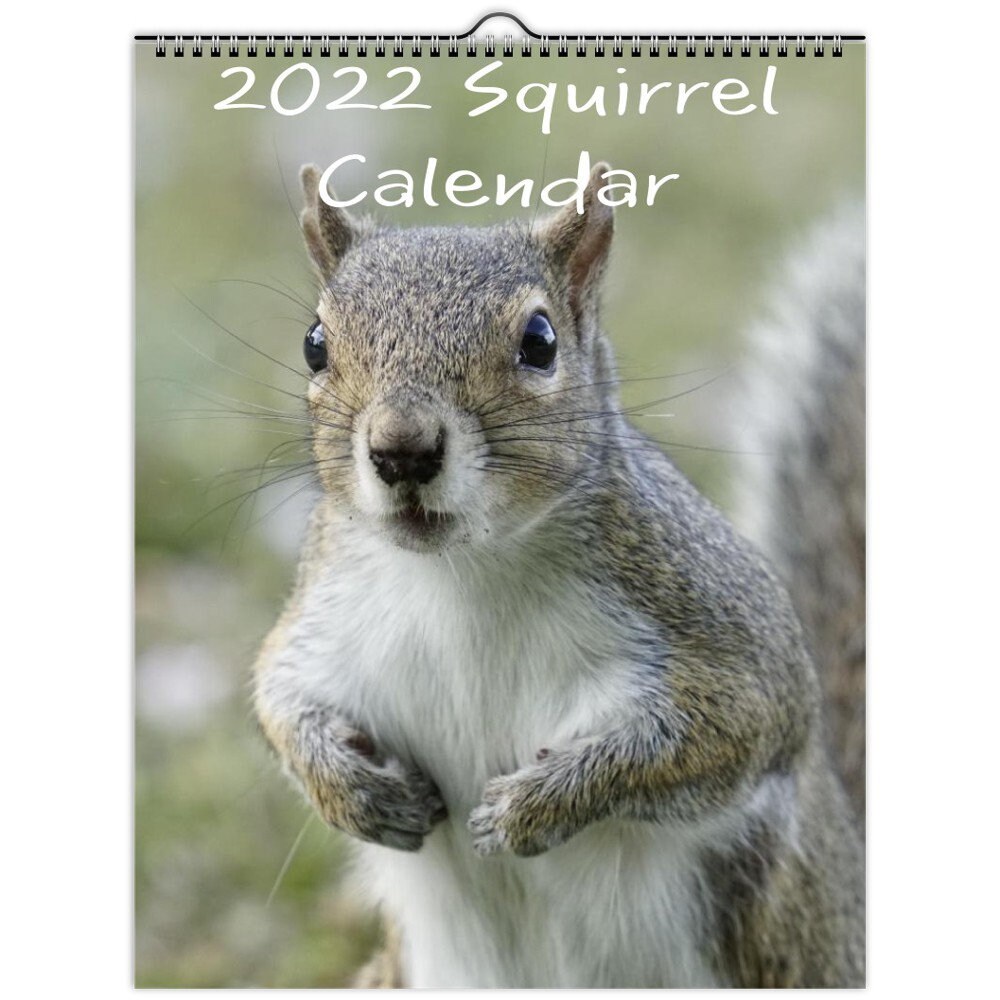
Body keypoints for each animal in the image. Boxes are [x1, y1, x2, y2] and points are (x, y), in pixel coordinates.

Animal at [252, 161, 865, 988]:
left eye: (539, 342)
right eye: (315, 344)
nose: (401, 448)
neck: (462, 575)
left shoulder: (717, 627)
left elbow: (730, 728)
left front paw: (536, 806)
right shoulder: (322, 618)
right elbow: (279, 699)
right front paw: (355, 794)